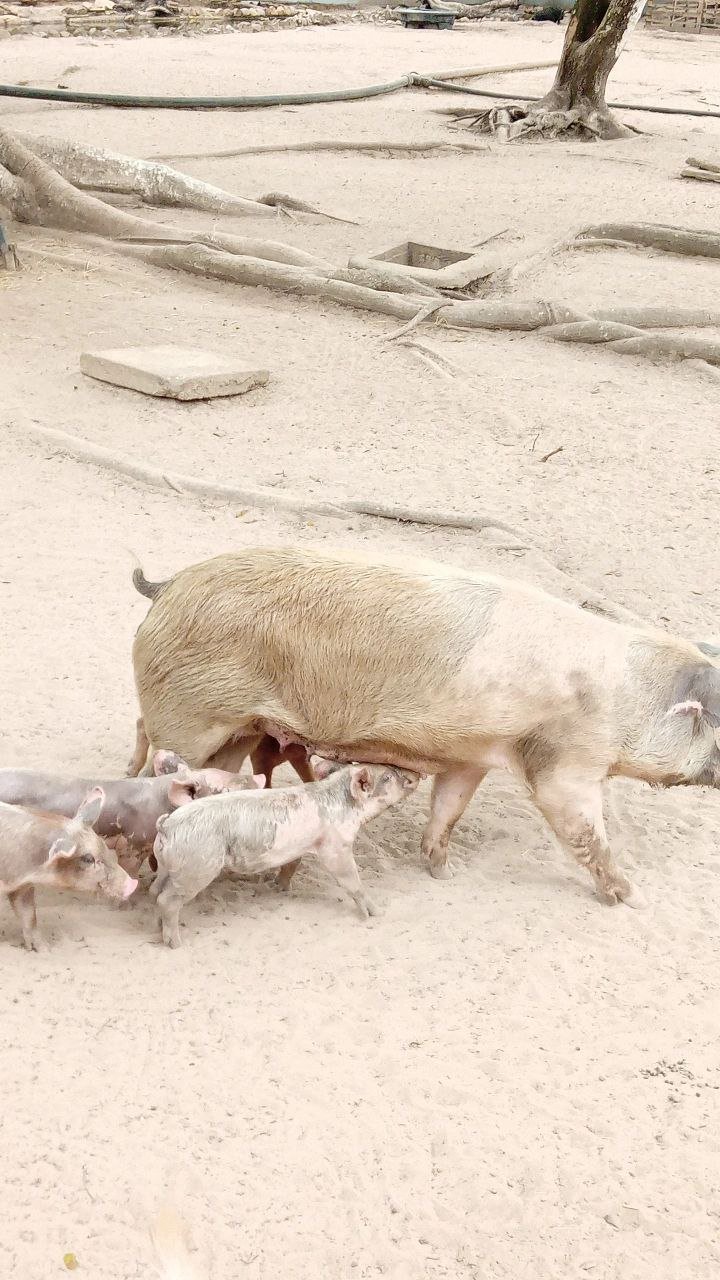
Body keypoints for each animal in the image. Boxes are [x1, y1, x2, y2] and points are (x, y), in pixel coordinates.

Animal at [0, 783, 136, 957]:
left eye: (103, 845)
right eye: (88, 859)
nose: (133, 883)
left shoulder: (22, 886)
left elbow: (29, 916)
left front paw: (45, 950)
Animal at [128, 545, 717, 906]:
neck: (628, 700)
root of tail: (169, 585)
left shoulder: (473, 756)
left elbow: (448, 810)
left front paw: (443, 872)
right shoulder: (564, 763)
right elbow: (585, 833)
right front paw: (635, 898)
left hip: (239, 729)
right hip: (188, 716)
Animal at [152, 757, 420, 952]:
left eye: (388, 769)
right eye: (386, 777)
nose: (413, 775)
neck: (346, 806)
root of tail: (167, 826)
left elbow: (294, 863)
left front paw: (282, 888)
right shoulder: (336, 847)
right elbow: (352, 881)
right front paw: (376, 914)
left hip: (170, 868)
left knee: (156, 891)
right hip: (196, 868)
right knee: (166, 900)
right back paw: (177, 944)